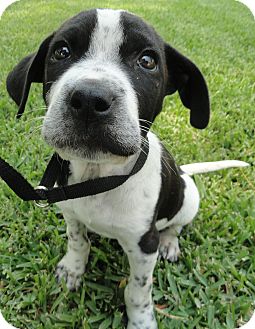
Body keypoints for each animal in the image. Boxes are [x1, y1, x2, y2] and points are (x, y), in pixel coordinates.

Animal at [5, 9, 248, 328]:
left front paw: (141, 320)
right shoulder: (70, 213)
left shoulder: (144, 245)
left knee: (177, 225)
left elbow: (136, 291)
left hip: (189, 199)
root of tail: (183, 172)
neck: (98, 178)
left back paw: (170, 243)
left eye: (147, 61)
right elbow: (77, 241)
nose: (89, 99)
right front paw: (73, 269)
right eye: (62, 51)